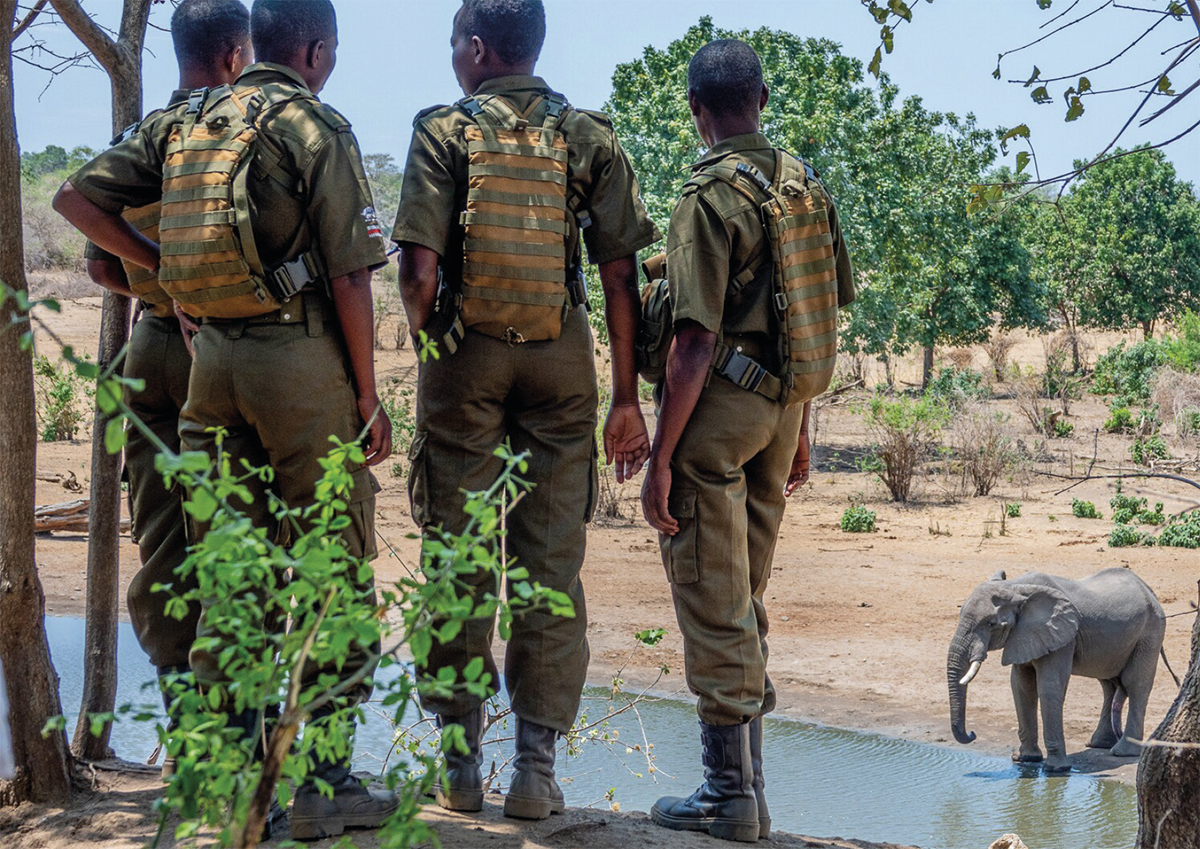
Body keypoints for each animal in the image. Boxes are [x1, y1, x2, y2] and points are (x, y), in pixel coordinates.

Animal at [945, 566, 1161, 772]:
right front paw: (1025, 759)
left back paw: (1123, 752)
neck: (1015, 587)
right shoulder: (1023, 635)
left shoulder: (1061, 635)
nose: (972, 734)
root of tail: (1149, 590)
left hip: (1150, 631)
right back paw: (1099, 744)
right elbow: (1021, 687)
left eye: (991, 624)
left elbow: (1049, 686)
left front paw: (1055, 769)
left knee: (1135, 684)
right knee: (1108, 685)